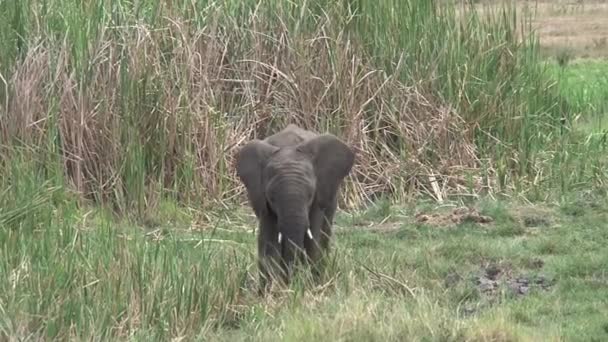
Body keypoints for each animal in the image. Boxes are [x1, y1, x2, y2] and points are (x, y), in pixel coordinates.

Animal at [234, 124, 356, 292]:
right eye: (271, 197)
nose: (291, 283)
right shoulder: (262, 200)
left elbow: (313, 240)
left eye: (310, 194)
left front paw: (312, 288)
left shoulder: (318, 196)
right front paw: (270, 293)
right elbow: (269, 242)